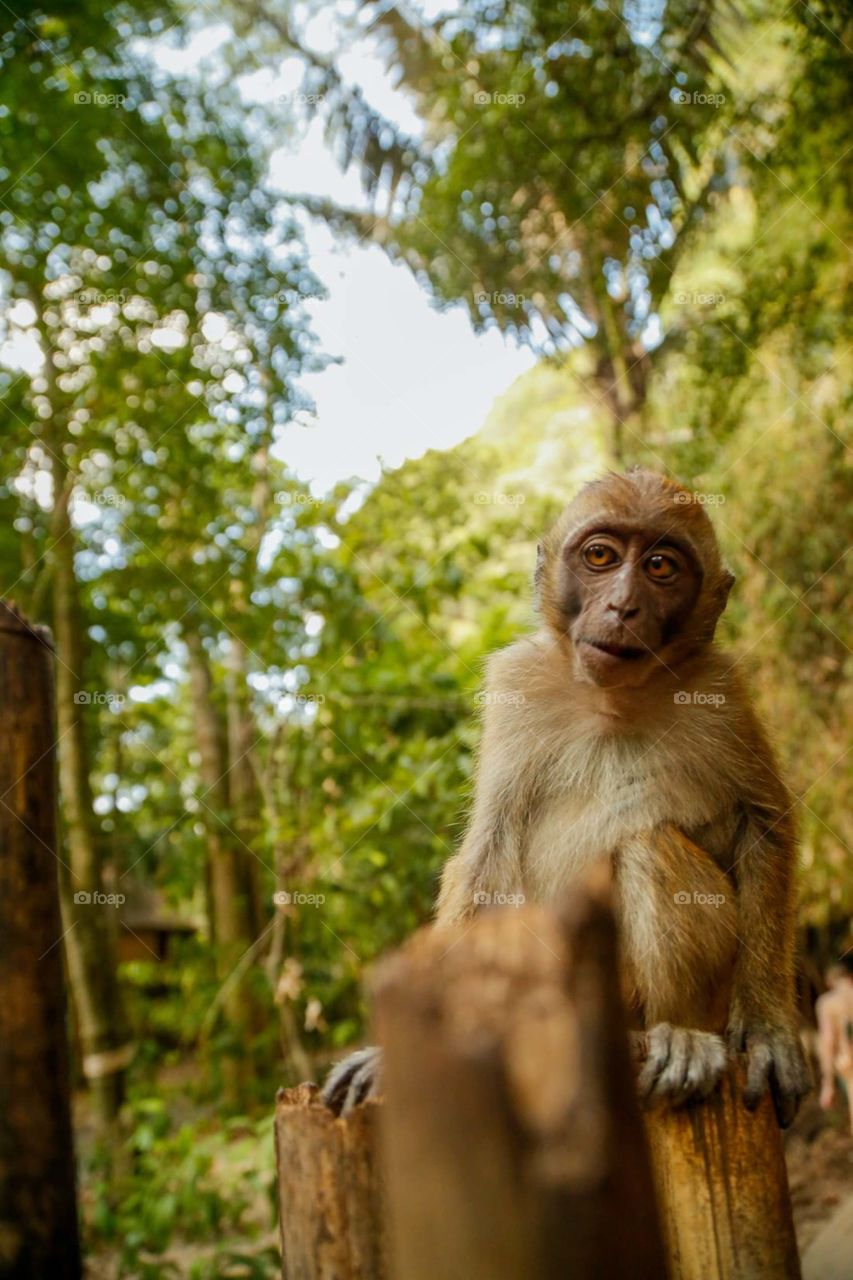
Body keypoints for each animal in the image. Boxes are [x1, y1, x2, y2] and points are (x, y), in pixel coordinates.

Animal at [323, 469, 810, 1126]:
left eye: (661, 567)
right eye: (600, 557)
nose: (622, 606)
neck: (613, 698)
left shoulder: (722, 691)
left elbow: (764, 825)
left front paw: (766, 1028)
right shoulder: (517, 685)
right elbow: (488, 858)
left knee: (648, 847)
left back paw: (680, 1036)